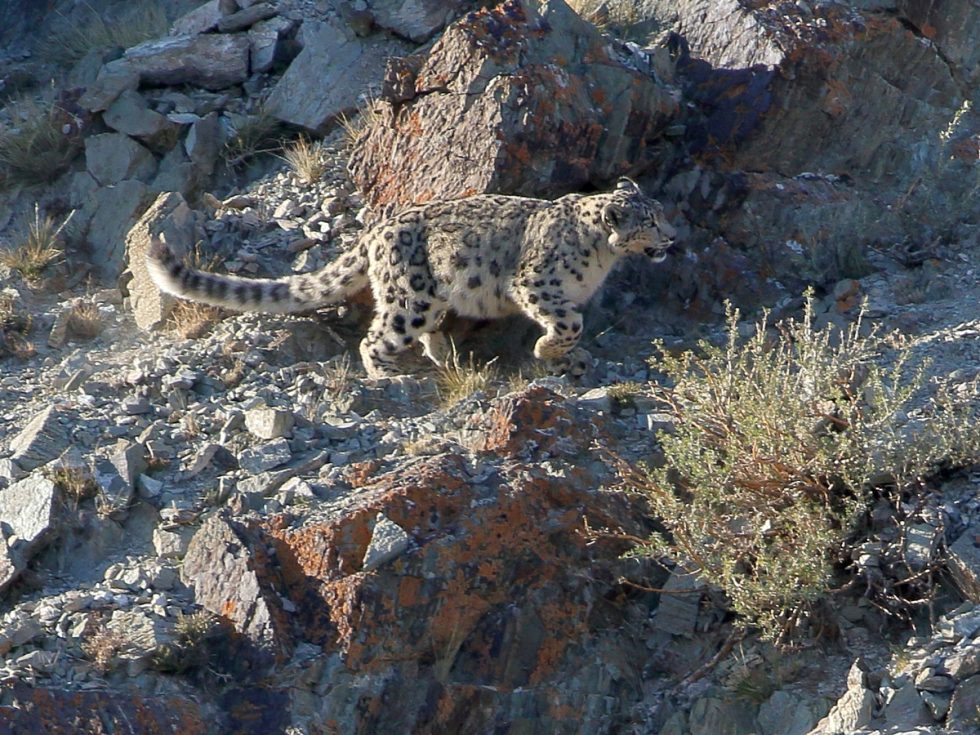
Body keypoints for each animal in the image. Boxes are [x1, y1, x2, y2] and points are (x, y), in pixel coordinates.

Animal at [146, 178, 677, 378]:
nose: (673, 237)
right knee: (376, 337)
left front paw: (571, 358)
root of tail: (375, 231)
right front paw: (549, 350)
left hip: (430, 297)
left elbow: (574, 326)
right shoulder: (535, 285)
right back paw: (387, 375)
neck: (601, 259)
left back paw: (444, 356)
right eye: (650, 221)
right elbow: (569, 323)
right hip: (409, 299)